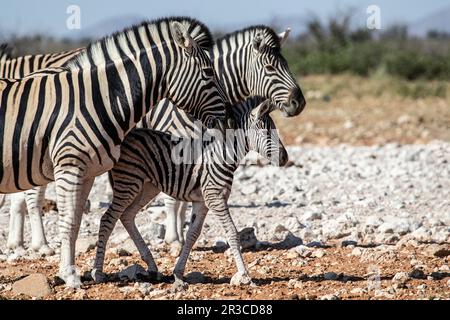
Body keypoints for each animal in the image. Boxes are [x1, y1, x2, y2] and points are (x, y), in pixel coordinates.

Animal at [0, 16, 229, 288]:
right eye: (208, 72)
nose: (226, 117)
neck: (96, 100)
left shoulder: (87, 172)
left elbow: (76, 222)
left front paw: (73, 271)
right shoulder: (69, 166)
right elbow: (68, 222)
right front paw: (70, 275)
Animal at [92, 96, 288, 286]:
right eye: (266, 132)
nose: (285, 158)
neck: (222, 154)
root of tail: (125, 137)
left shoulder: (202, 201)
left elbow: (193, 234)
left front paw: (178, 272)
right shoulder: (214, 197)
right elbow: (232, 232)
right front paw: (244, 275)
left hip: (147, 187)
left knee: (126, 215)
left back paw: (152, 266)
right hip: (129, 182)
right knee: (108, 218)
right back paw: (97, 273)